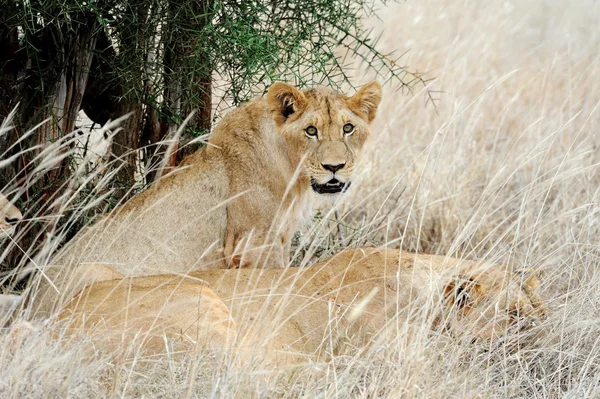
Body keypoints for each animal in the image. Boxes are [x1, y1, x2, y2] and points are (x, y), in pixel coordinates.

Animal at [32, 81, 382, 318]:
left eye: (348, 128)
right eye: (311, 131)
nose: (334, 167)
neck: (293, 173)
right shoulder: (255, 245)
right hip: (95, 273)